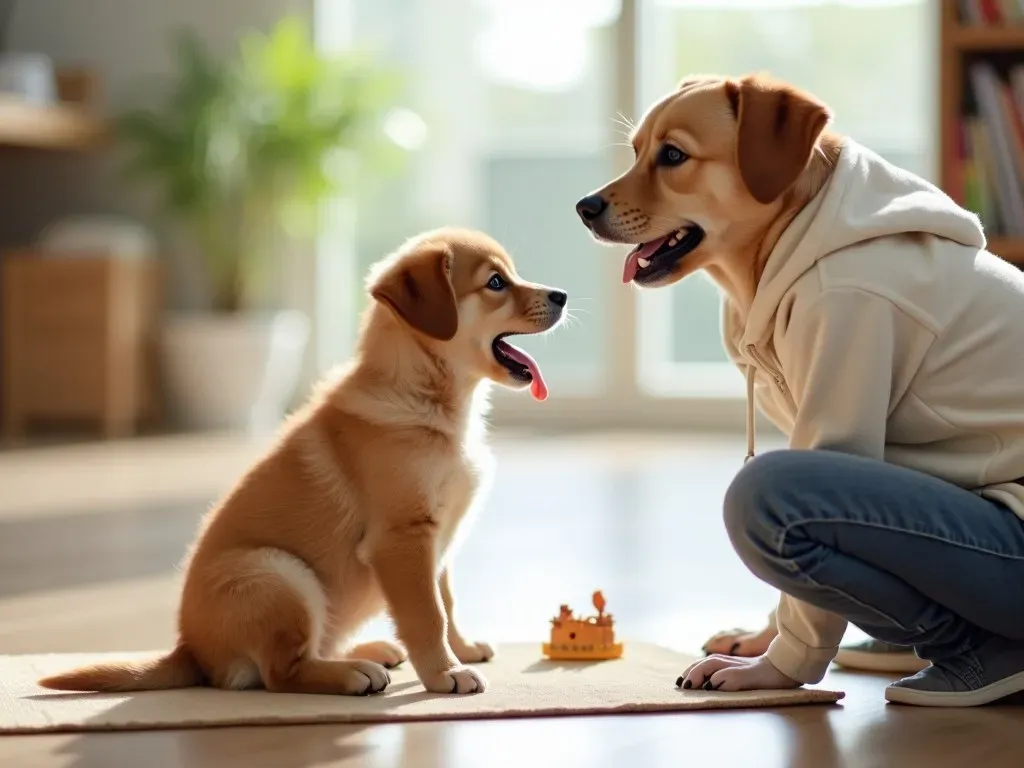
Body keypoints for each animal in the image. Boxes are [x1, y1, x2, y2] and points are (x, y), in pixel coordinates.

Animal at [39, 227, 569, 696]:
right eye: (495, 282)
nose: (562, 294)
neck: (428, 399)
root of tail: (190, 650)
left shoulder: (439, 541)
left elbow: (448, 603)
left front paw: (463, 649)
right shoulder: (403, 538)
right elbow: (427, 615)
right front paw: (445, 674)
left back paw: (369, 652)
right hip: (280, 575)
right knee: (282, 673)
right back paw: (352, 674)